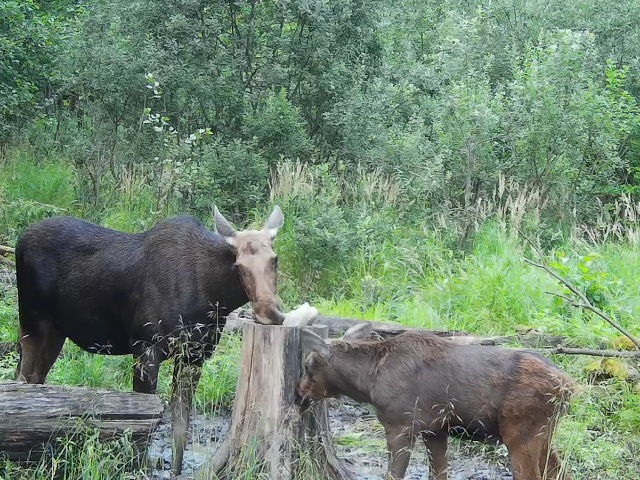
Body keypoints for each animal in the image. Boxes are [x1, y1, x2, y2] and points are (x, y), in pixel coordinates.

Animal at [14, 206, 308, 475]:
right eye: (238, 265)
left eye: (275, 259)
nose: (270, 312)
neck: (215, 299)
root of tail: (19, 238)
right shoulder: (145, 348)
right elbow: (144, 421)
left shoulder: (194, 355)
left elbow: (180, 428)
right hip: (31, 320)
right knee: (23, 379)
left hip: (56, 331)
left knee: (36, 377)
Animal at [297, 322, 574, 480]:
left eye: (308, 365)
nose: (300, 392)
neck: (368, 382)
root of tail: (570, 386)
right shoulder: (435, 429)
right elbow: (439, 473)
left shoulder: (401, 425)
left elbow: (394, 475)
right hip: (543, 433)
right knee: (561, 471)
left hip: (520, 434)